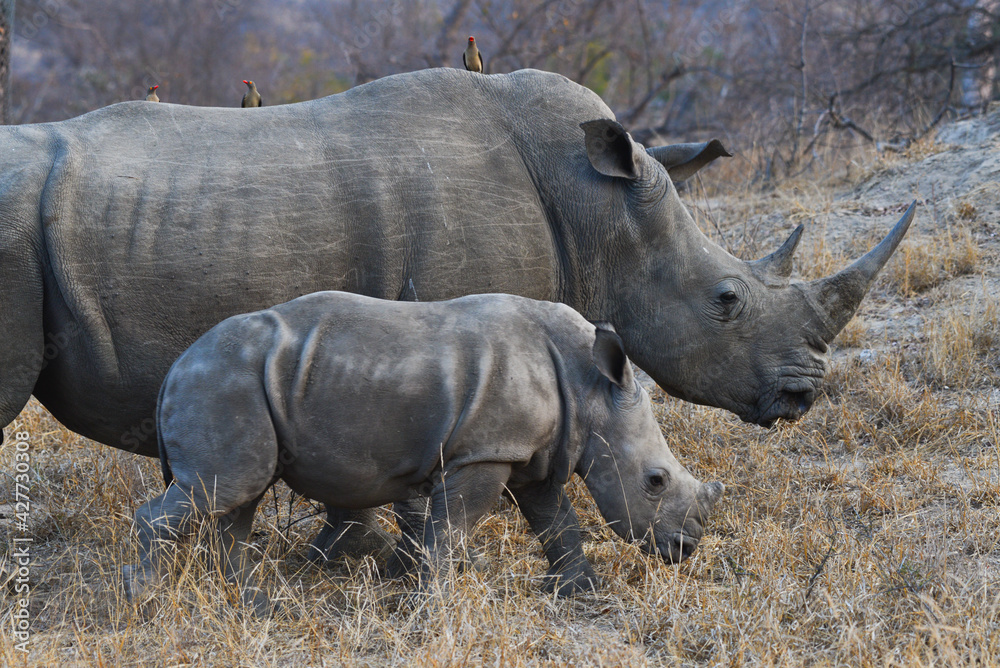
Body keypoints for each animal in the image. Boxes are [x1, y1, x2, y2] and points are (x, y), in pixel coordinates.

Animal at [122, 292, 726, 611]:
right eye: (655, 481)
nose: (685, 548)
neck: (590, 386)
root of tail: (175, 367)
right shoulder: (484, 452)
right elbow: (452, 529)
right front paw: (431, 605)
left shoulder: (527, 454)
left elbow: (559, 523)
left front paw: (583, 591)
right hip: (221, 382)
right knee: (225, 488)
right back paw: (142, 598)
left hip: (235, 382)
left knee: (236, 496)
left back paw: (254, 602)